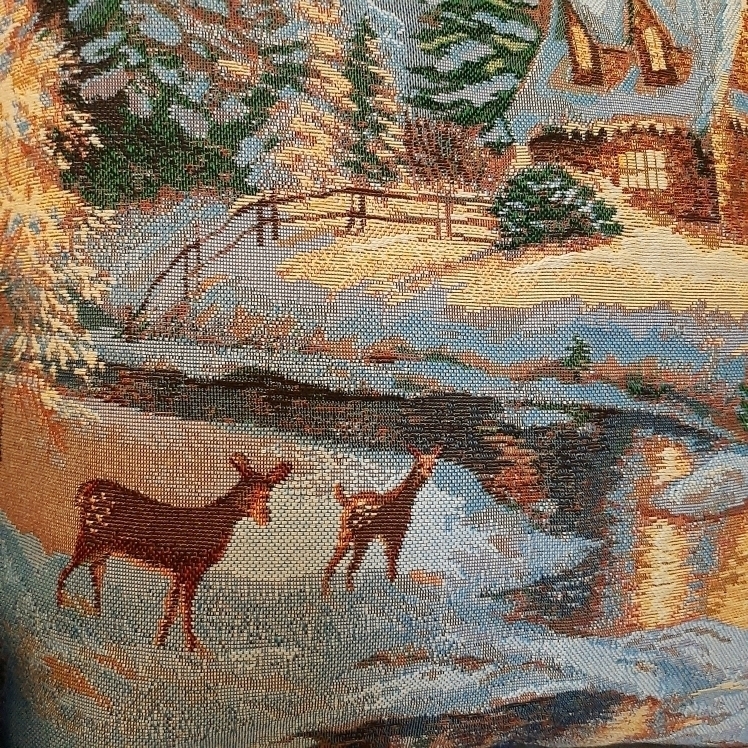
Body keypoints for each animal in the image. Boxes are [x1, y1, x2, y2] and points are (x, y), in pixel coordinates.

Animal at [56, 453, 292, 652]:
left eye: (267, 493)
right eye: (250, 492)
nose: (266, 517)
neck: (215, 526)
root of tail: (84, 490)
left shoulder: (180, 570)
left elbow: (173, 607)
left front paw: (161, 643)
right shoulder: (190, 567)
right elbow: (184, 608)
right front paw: (192, 649)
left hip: (104, 547)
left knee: (94, 570)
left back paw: (97, 614)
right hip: (91, 536)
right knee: (67, 569)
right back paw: (61, 607)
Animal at [322, 445, 443, 596]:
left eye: (434, 463)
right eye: (419, 463)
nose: (427, 473)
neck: (402, 500)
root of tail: (347, 501)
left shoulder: (391, 536)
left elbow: (390, 562)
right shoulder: (395, 535)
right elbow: (392, 562)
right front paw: (393, 587)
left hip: (348, 535)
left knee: (336, 564)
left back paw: (332, 594)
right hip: (360, 538)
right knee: (347, 566)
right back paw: (342, 593)